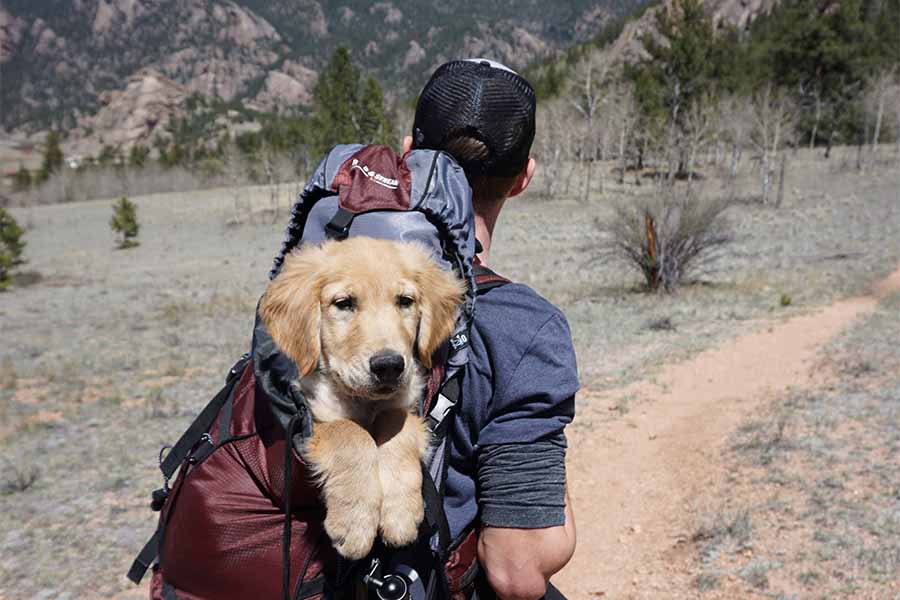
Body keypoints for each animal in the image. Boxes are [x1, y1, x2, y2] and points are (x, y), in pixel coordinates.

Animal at [258, 237, 464, 560]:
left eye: (405, 301)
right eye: (344, 304)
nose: (389, 366)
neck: (365, 402)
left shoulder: (406, 404)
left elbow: (397, 424)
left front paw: (400, 513)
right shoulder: (312, 416)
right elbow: (351, 433)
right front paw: (355, 523)